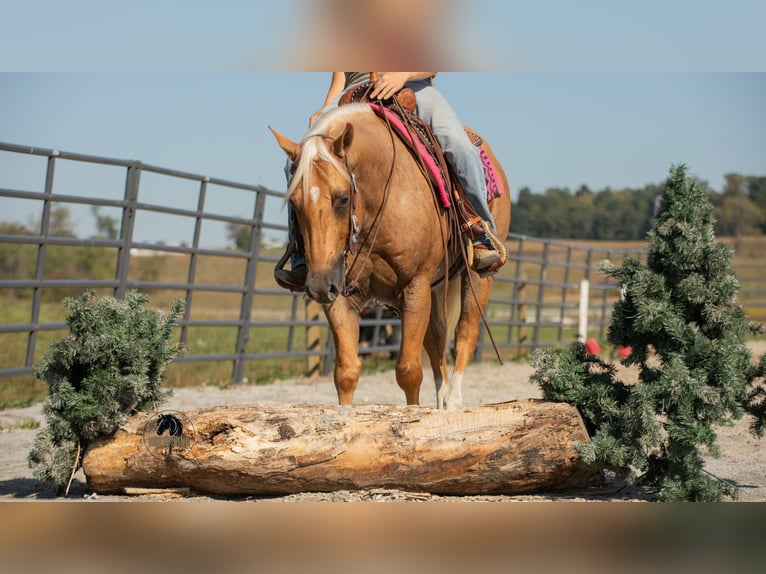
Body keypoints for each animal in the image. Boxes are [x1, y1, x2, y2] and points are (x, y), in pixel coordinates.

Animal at [270, 102, 511, 409]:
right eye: (294, 202)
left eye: (343, 198)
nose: (319, 285)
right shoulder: (340, 296)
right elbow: (346, 373)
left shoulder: (415, 287)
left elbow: (409, 371)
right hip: (436, 288)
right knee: (438, 344)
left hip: (477, 279)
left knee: (465, 334)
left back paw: (453, 402)